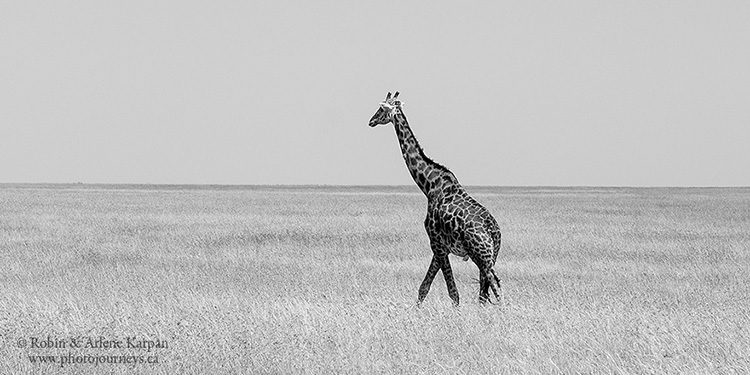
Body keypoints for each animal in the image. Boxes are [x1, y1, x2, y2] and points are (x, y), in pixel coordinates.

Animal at [370, 92, 506, 306]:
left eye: (381, 109)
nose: (371, 121)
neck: (429, 186)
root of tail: (494, 231)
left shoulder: (437, 243)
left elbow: (453, 292)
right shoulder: (440, 247)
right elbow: (423, 288)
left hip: (480, 255)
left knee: (495, 287)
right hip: (490, 256)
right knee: (484, 292)